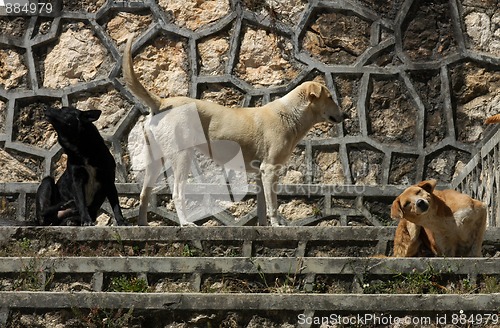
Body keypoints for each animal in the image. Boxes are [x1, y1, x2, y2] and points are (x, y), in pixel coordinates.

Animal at [123, 35, 346, 226]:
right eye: (330, 97)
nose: (344, 115)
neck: (290, 114)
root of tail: (162, 103)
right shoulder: (270, 169)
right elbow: (273, 204)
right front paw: (276, 225)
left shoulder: (260, 173)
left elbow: (262, 205)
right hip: (181, 155)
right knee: (177, 192)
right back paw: (186, 223)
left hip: (154, 157)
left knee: (144, 193)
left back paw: (142, 225)